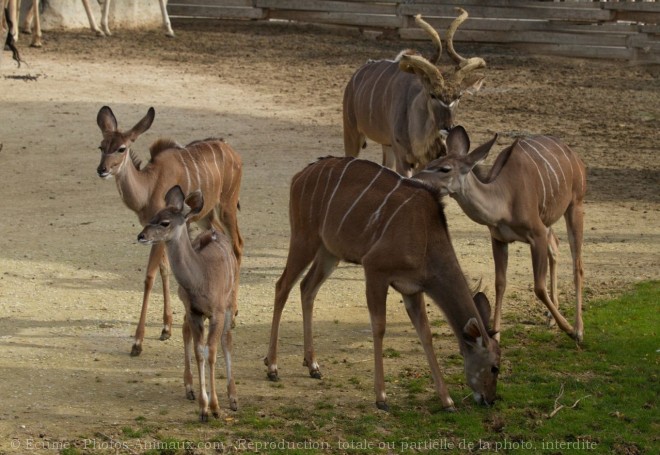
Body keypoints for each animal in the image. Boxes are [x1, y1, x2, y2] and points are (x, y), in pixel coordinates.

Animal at [96, 107, 244, 356]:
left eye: (121, 148)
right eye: (101, 145)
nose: (102, 170)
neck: (148, 187)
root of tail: (232, 150)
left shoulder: (158, 234)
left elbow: (149, 276)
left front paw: (138, 342)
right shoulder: (158, 233)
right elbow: (165, 269)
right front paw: (166, 328)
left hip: (227, 205)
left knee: (238, 245)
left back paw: (232, 315)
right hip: (205, 215)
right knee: (219, 235)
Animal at [138, 185, 238, 420]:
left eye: (165, 222)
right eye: (152, 217)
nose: (141, 236)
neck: (201, 278)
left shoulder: (217, 312)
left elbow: (211, 352)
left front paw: (215, 407)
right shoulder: (194, 311)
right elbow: (199, 351)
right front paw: (203, 408)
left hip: (229, 303)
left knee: (227, 339)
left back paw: (233, 398)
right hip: (188, 308)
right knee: (186, 331)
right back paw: (190, 388)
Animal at [262, 158, 500, 414]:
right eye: (495, 367)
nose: (490, 399)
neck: (426, 237)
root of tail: (299, 176)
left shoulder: (412, 288)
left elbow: (425, 333)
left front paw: (447, 401)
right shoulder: (375, 269)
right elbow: (379, 327)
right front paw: (381, 397)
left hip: (329, 252)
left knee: (307, 288)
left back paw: (313, 365)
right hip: (304, 239)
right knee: (282, 286)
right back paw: (272, 367)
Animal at [346, 9, 484, 176]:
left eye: (459, 96)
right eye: (432, 94)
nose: (448, 127)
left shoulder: (424, 163)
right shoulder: (403, 160)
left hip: (387, 146)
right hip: (351, 133)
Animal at [416, 126, 584, 344]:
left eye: (445, 168)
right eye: (430, 163)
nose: (415, 180)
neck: (505, 201)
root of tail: (574, 157)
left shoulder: (536, 234)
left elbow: (538, 287)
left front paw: (570, 330)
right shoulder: (498, 239)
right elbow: (500, 283)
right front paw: (496, 335)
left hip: (575, 205)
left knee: (577, 265)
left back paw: (578, 329)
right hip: (548, 220)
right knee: (555, 247)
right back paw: (550, 319)